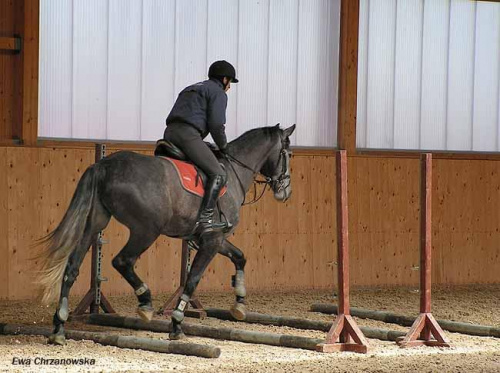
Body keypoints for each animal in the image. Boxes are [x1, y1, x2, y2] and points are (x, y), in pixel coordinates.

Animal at [38, 123, 296, 342]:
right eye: (288, 154)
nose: (285, 192)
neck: (233, 174)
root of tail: (104, 165)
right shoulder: (212, 240)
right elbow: (193, 280)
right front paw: (177, 324)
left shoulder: (214, 239)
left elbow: (240, 257)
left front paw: (240, 303)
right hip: (146, 230)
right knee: (122, 261)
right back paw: (145, 302)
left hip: (95, 226)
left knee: (72, 268)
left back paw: (59, 326)